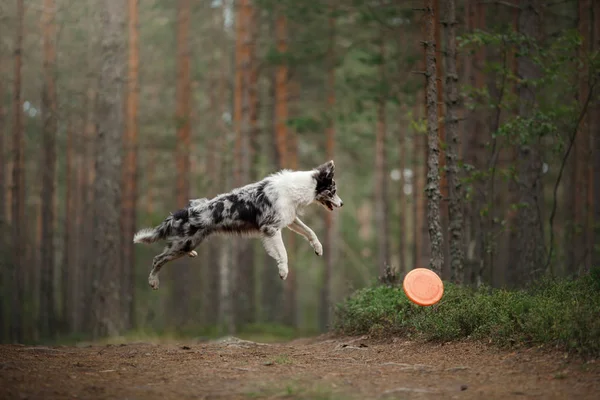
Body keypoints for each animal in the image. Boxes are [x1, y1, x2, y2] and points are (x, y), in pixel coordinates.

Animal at [134, 160, 344, 290]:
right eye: (333, 191)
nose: (342, 204)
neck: (297, 189)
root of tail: (183, 212)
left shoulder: (290, 219)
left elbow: (310, 232)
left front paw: (318, 248)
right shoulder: (271, 228)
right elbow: (283, 253)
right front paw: (283, 271)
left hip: (190, 242)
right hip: (184, 243)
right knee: (158, 259)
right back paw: (153, 281)